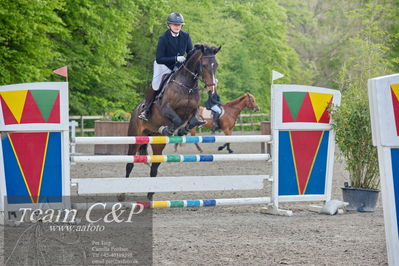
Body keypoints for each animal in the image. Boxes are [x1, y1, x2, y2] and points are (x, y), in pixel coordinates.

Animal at [121, 44, 222, 202]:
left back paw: (150, 195)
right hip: (135, 138)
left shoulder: (193, 110)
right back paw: (122, 194)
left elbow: (192, 120)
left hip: (157, 143)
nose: (211, 87)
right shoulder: (166, 109)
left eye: (215, 65)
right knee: (129, 163)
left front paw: (182, 130)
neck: (187, 86)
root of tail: (136, 109)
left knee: (154, 166)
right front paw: (170, 129)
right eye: (204, 65)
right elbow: (177, 120)